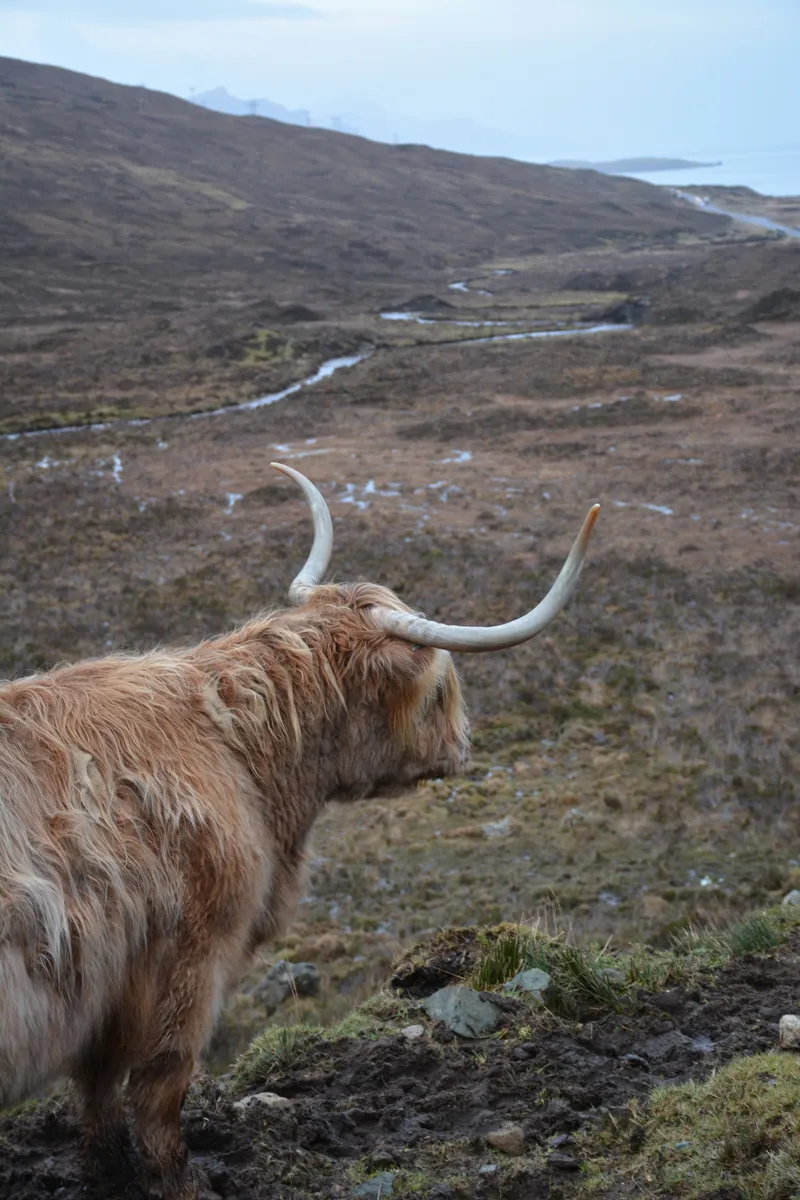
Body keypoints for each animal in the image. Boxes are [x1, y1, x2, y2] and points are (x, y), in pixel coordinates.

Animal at [0, 463, 599, 1198]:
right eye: (438, 690)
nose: (464, 745)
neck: (234, 746)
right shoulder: (188, 961)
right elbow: (159, 1088)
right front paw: (183, 1184)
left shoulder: (110, 998)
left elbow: (97, 1096)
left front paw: (109, 1176)